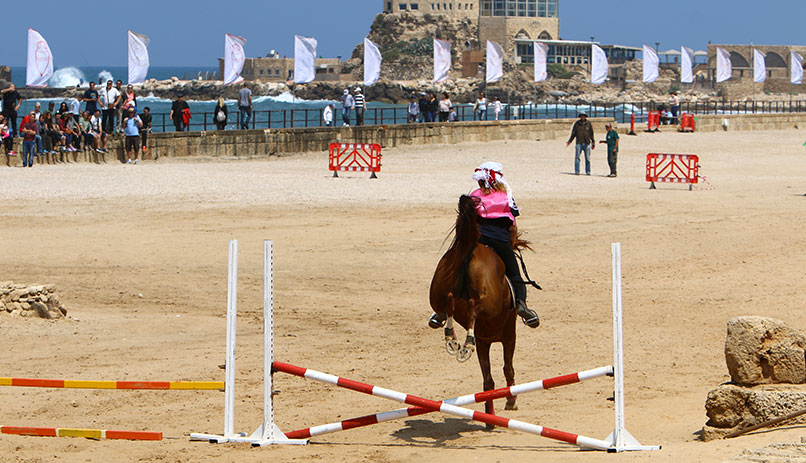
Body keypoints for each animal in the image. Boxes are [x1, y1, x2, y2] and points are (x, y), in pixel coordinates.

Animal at [430, 194, 532, 422]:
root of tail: (472, 249)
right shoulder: (508, 337)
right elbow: (507, 369)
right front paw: (510, 401)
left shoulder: (484, 342)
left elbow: (488, 380)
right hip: (488, 305)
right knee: (472, 308)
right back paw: (464, 343)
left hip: (438, 294)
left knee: (449, 302)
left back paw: (452, 339)